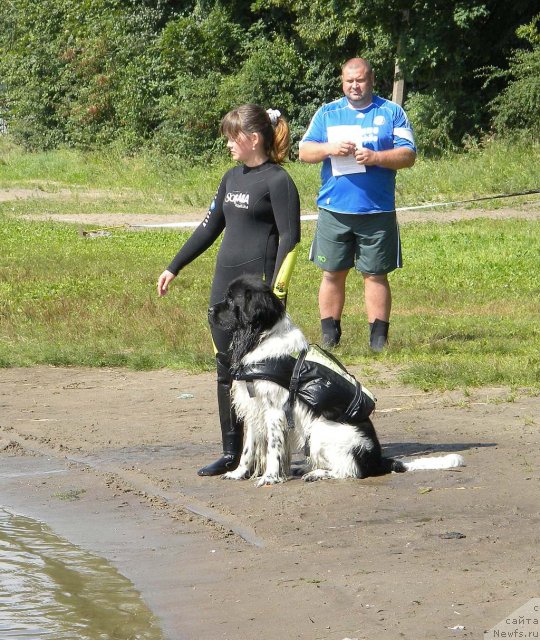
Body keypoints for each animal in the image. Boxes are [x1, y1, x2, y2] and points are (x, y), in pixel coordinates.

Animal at [208, 272, 464, 488]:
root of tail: (378, 460)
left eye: (231, 300)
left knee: (350, 471)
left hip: (320, 430)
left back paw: (317, 473)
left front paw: (270, 478)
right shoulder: (253, 407)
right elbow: (248, 448)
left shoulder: (274, 410)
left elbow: (273, 449)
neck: (262, 337)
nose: (209, 310)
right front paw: (238, 473)